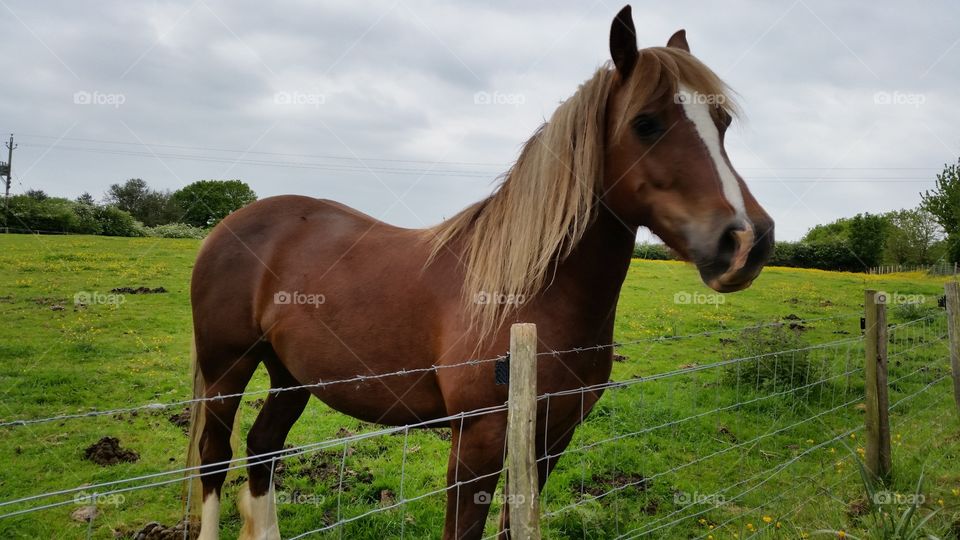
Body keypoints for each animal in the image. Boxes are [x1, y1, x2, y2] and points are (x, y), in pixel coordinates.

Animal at [186, 5, 772, 540]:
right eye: (645, 123)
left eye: (722, 123)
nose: (747, 241)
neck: (528, 293)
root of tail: (230, 223)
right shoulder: (479, 441)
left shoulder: (551, 438)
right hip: (227, 368)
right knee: (216, 456)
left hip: (291, 374)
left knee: (262, 448)